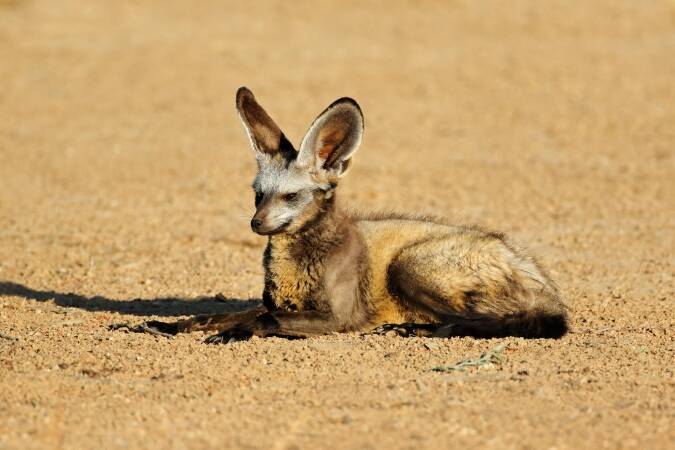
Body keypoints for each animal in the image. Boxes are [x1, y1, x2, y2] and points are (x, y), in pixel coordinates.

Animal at [125, 87, 568, 343]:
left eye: (291, 196)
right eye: (257, 195)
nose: (256, 224)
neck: (300, 266)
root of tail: (542, 278)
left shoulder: (340, 316)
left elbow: (264, 322)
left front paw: (236, 334)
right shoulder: (280, 304)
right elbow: (215, 314)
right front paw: (166, 326)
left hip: (410, 266)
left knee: (508, 321)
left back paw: (420, 328)